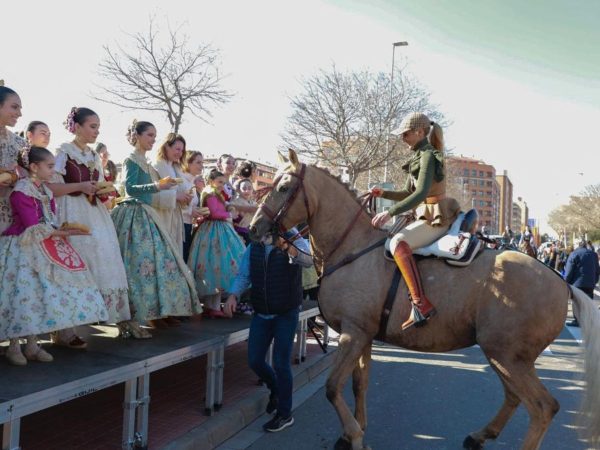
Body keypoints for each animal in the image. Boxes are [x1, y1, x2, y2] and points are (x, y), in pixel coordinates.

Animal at [247, 150, 600, 450]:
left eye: (284, 186)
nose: (254, 228)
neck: (352, 248)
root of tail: (562, 282)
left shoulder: (352, 333)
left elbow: (333, 387)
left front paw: (355, 436)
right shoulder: (363, 335)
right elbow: (359, 383)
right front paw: (356, 430)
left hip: (507, 355)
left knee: (542, 407)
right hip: (505, 356)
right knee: (515, 397)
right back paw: (480, 435)